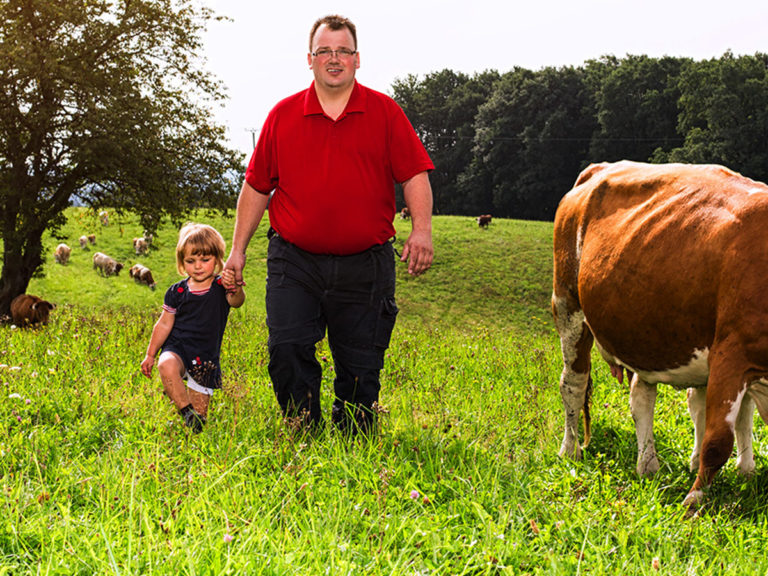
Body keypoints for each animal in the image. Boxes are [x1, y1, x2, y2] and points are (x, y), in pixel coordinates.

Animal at [552, 160, 768, 510]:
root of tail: (601, 167)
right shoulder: (731, 353)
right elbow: (718, 441)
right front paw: (693, 501)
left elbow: (739, 417)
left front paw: (744, 472)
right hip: (568, 304)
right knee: (573, 383)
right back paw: (570, 450)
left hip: (646, 333)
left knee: (644, 396)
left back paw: (648, 464)